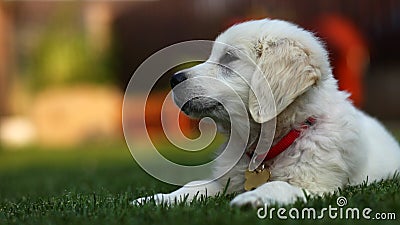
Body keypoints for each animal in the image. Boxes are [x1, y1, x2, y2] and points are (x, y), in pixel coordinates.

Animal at [134, 18, 400, 207]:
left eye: (228, 58)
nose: (173, 79)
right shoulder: (229, 181)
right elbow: (195, 185)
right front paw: (156, 200)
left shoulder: (316, 186)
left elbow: (279, 186)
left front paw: (252, 199)